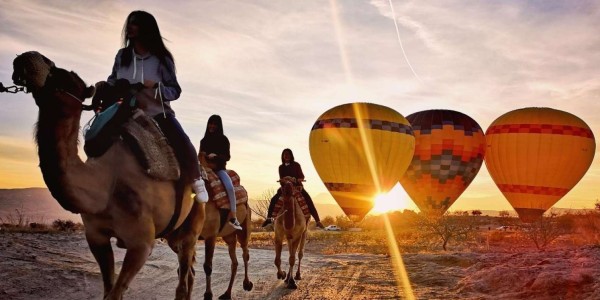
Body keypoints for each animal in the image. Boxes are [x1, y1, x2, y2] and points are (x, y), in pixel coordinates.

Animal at [11, 52, 204, 300]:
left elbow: (115, 293)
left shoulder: (141, 243)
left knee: (183, 275)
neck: (105, 187)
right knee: (188, 272)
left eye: (67, 77)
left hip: (192, 226)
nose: (28, 57)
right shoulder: (96, 237)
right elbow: (108, 289)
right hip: (173, 233)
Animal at [198, 156, 252, 298]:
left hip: (244, 227)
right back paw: (227, 293)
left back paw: (247, 284)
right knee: (234, 261)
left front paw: (208, 295)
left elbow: (207, 266)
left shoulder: (210, 235)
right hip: (228, 235)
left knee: (245, 253)